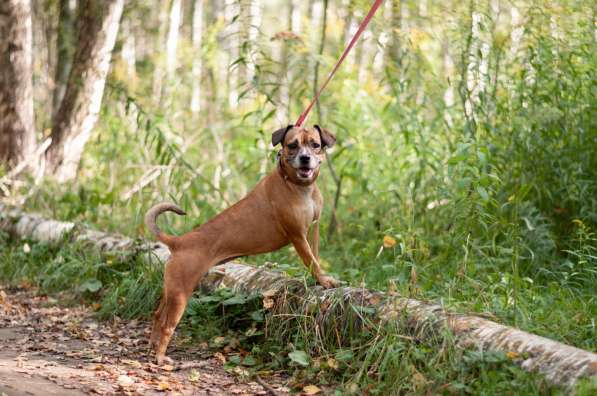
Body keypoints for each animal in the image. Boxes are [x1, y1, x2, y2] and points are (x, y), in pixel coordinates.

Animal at [144, 124, 338, 366]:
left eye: (315, 144)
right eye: (292, 145)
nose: (305, 158)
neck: (296, 185)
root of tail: (178, 241)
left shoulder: (313, 230)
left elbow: (316, 258)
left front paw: (321, 279)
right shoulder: (297, 236)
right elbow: (311, 260)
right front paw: (324, 280)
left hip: (170, 289)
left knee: (157, 315)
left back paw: (152, 347)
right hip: (180, 294)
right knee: (167, 324)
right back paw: (160, 357)